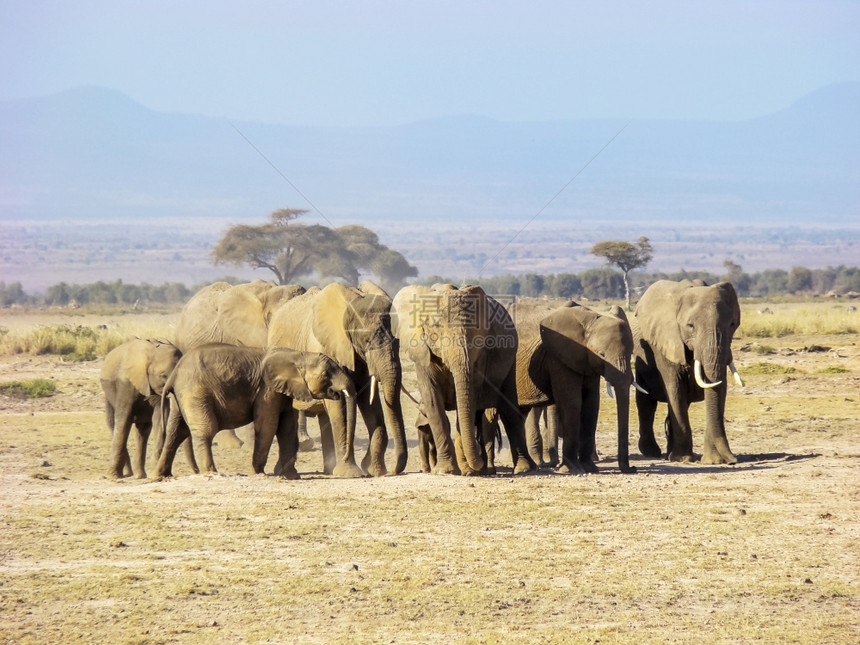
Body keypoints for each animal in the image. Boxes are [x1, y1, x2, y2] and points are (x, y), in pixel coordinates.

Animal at [156, 344, 354, 476]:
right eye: (326, 374)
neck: (297, 355)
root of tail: (173, 374)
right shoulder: (267, 390)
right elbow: (268, 425)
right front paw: (258, 473)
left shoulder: (282, 392)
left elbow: (287, 427)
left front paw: (291, 477)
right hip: (195, 392)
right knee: (205, 429)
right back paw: (211, 472)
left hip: (181, 396)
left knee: (175, 432)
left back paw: (160, 476)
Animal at [268, 282, 408, 478]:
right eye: (367, 340)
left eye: (398, 341)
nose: (393, 472)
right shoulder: (326, 348)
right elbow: (339, 406)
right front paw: (350, 473)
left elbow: (370, 402)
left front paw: (375, 470)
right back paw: (288, 473)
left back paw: (328, 470)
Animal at [394, 284, 536, 476]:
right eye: (435, 327)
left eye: (476, 328)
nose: (476, 464)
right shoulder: (422, 352)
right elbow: (433, 401)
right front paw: (445, 471)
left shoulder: (480, 354)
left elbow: (468, 402)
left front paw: (468, 470)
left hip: (512, 359)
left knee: (509, 411)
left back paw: (522, 469)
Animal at [512, 302, 640, 472]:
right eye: (601, 355)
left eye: (631, 352)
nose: (633, 468)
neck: (590, 321)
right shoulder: (559, 358)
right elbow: (572, 403)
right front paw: (571, 469)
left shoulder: (586, 361)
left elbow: (591, 404)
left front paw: (590, 468)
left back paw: (530, 467)